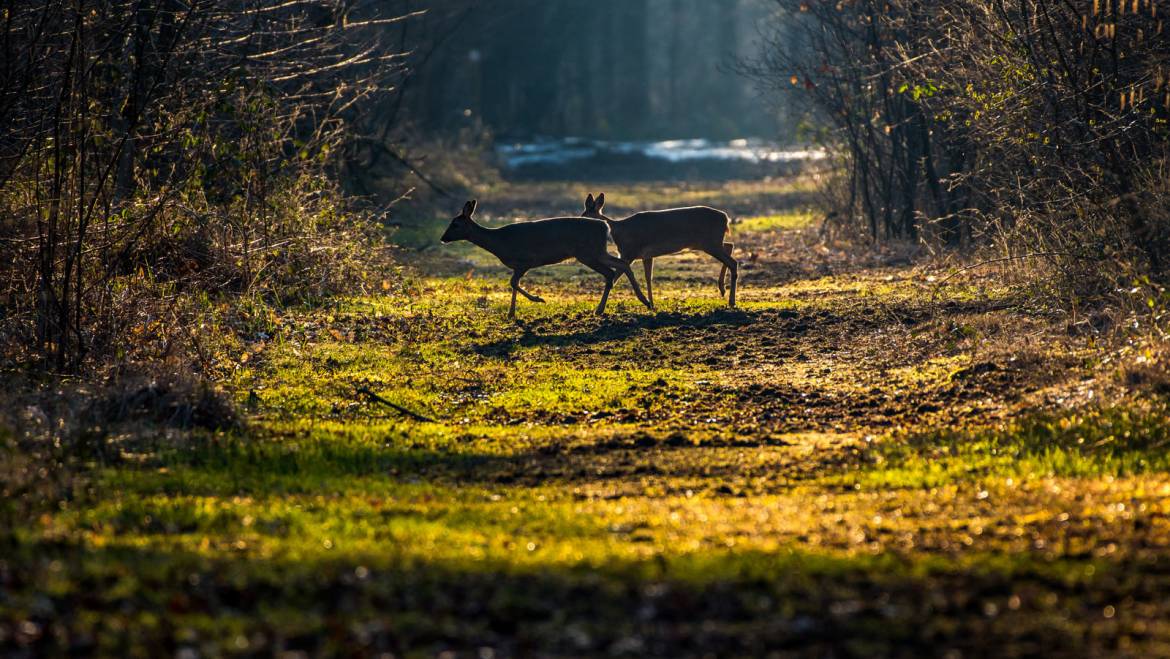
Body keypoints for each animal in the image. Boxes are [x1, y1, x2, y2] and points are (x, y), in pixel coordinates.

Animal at [439, 200, 655, 318]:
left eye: (455, 224)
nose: (443, 238)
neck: (499, 242)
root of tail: (605, 226)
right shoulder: (517, 265)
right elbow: (513, 284)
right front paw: (511, 313)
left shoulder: (525, 260)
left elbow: (513, 283)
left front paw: (538, 299)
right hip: (595, 252)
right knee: (621, 264)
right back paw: (641, 302)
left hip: (588, 252)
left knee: (612, 270)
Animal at [580, 191, 734, 309]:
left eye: (584, 216)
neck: (619, 231)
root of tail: (726, 218)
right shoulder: (645, 255)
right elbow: (648, 278)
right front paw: (652, 305)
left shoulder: (629, 253)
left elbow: (615, 278)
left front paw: (599, 309)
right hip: (710, 242)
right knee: (729, 245)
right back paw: (722, 289)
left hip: (710, 242)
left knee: (733, 261)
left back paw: (730, 300)